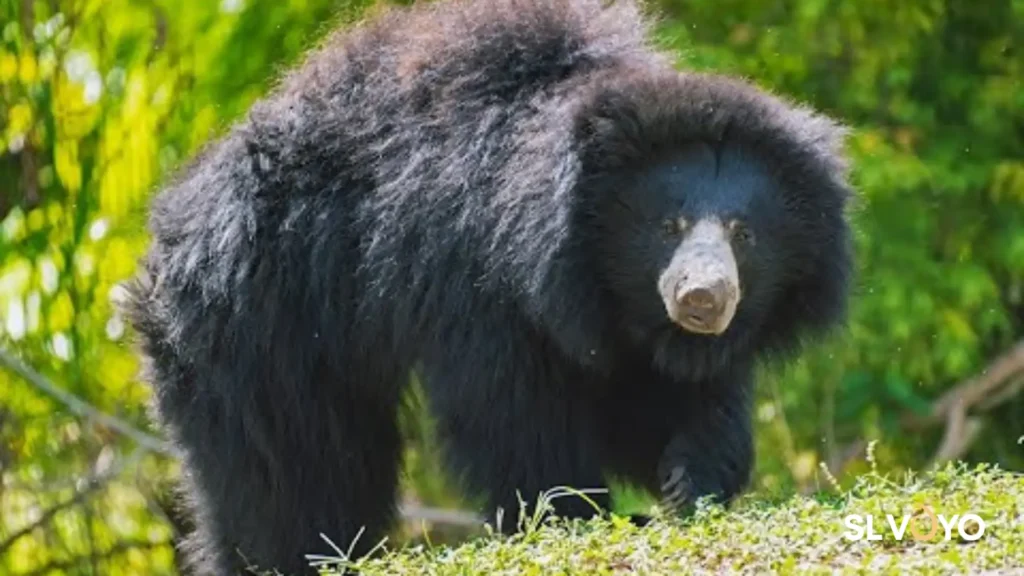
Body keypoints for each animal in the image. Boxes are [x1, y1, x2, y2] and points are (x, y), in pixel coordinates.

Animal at [123, 0, 855, 574]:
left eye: (743, 233)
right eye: (669, 225)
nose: (703, 298)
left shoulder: (623, 324)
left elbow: (666, 398)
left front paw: (690, 480)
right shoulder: (477, 286)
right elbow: (510, 412)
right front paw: (573, 512)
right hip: (255, 311)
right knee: (289, 458)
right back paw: (287, 556)